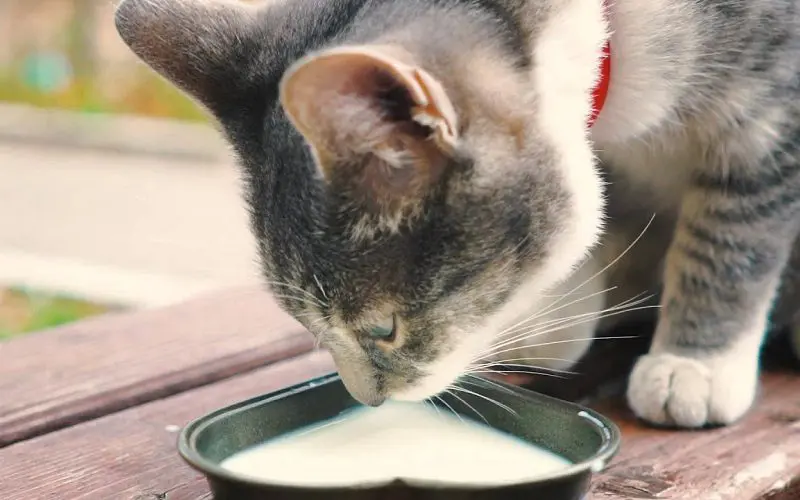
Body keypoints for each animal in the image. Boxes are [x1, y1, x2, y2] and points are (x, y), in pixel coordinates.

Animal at [115, 0, 800, 430]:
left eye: (383, 329)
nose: (366, 401)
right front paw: (557, 317)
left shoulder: (772, 119)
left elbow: (733, 235)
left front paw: (695, 364)